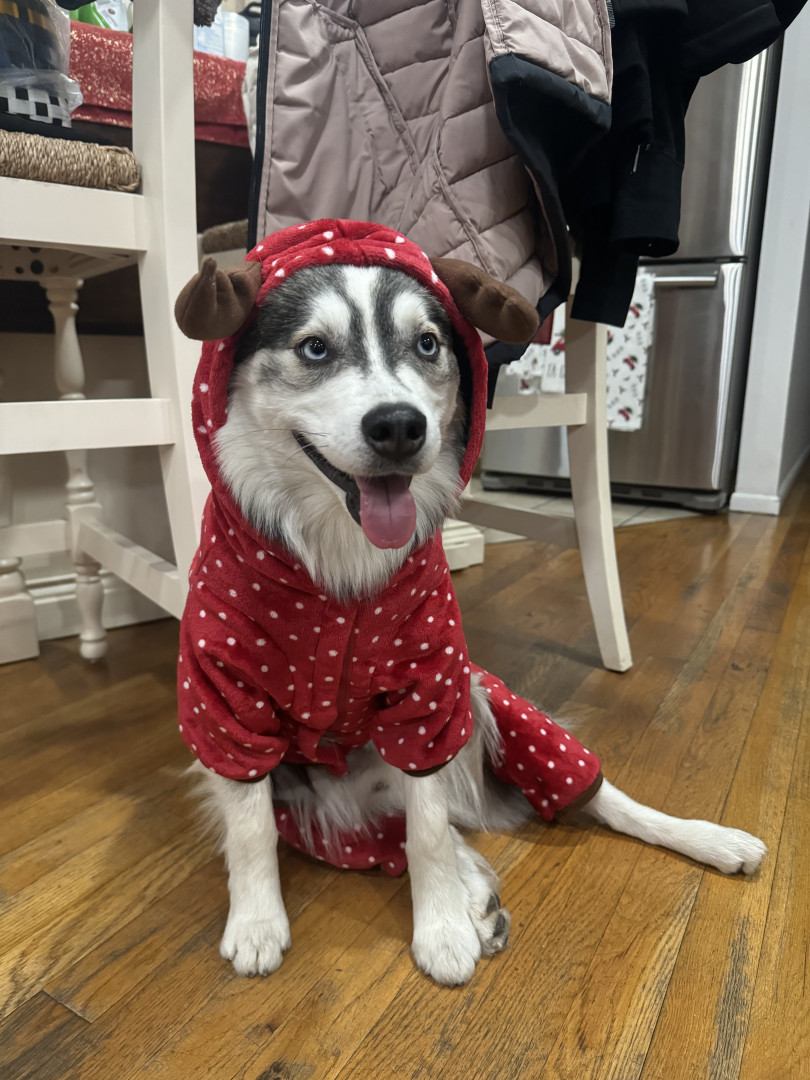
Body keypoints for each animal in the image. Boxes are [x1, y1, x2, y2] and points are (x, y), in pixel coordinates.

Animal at [174, 220, 766, 987]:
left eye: (428, 344)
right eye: (314, 348)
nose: (400, 426)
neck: (340, 562)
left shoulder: (432, 695)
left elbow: (428, 828)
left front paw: (441, 930)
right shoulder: (225, 705)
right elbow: (248, 829)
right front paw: (255, 924)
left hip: (493, 701)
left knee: (579, 795)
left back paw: (709, 840)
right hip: (313, 803)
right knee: (402, 828)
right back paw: (476, 892)